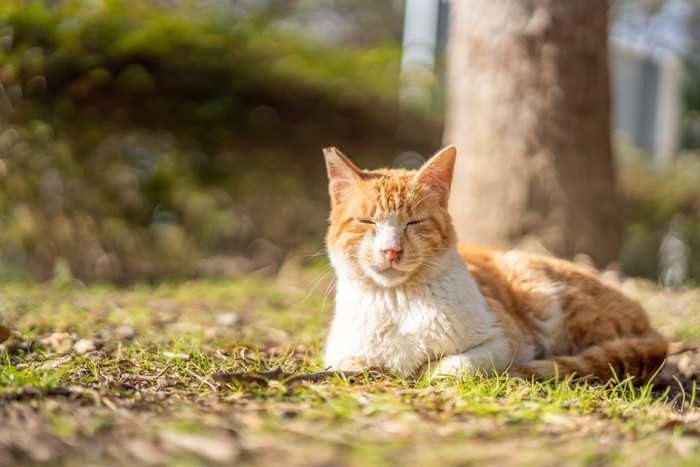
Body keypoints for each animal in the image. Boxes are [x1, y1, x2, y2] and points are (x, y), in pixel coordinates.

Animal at [322, 146, 668, 384]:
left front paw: (425, 370)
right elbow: (351, 362)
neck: (397, 302)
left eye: (414, 223)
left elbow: (452, 367)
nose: (391, 251)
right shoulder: (337, 352)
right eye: (367, 222)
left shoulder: (504, 339)